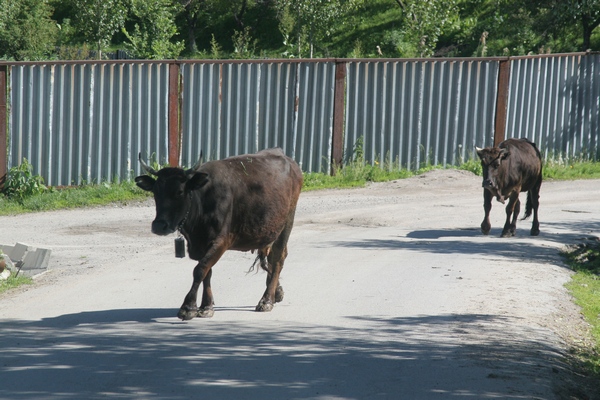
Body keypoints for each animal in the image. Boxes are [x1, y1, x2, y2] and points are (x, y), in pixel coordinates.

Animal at [137, 148, 304, 320]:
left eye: (180, 192)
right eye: (155, 192)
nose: (159, 225)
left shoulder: (221, 241)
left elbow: (200, 270)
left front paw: (188, 307)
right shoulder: (201, 245)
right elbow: (207, 272)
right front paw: (206, 306)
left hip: (287, 223)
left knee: (277, 259)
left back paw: (266, 300)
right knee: (273, 258)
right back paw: (277, 292)